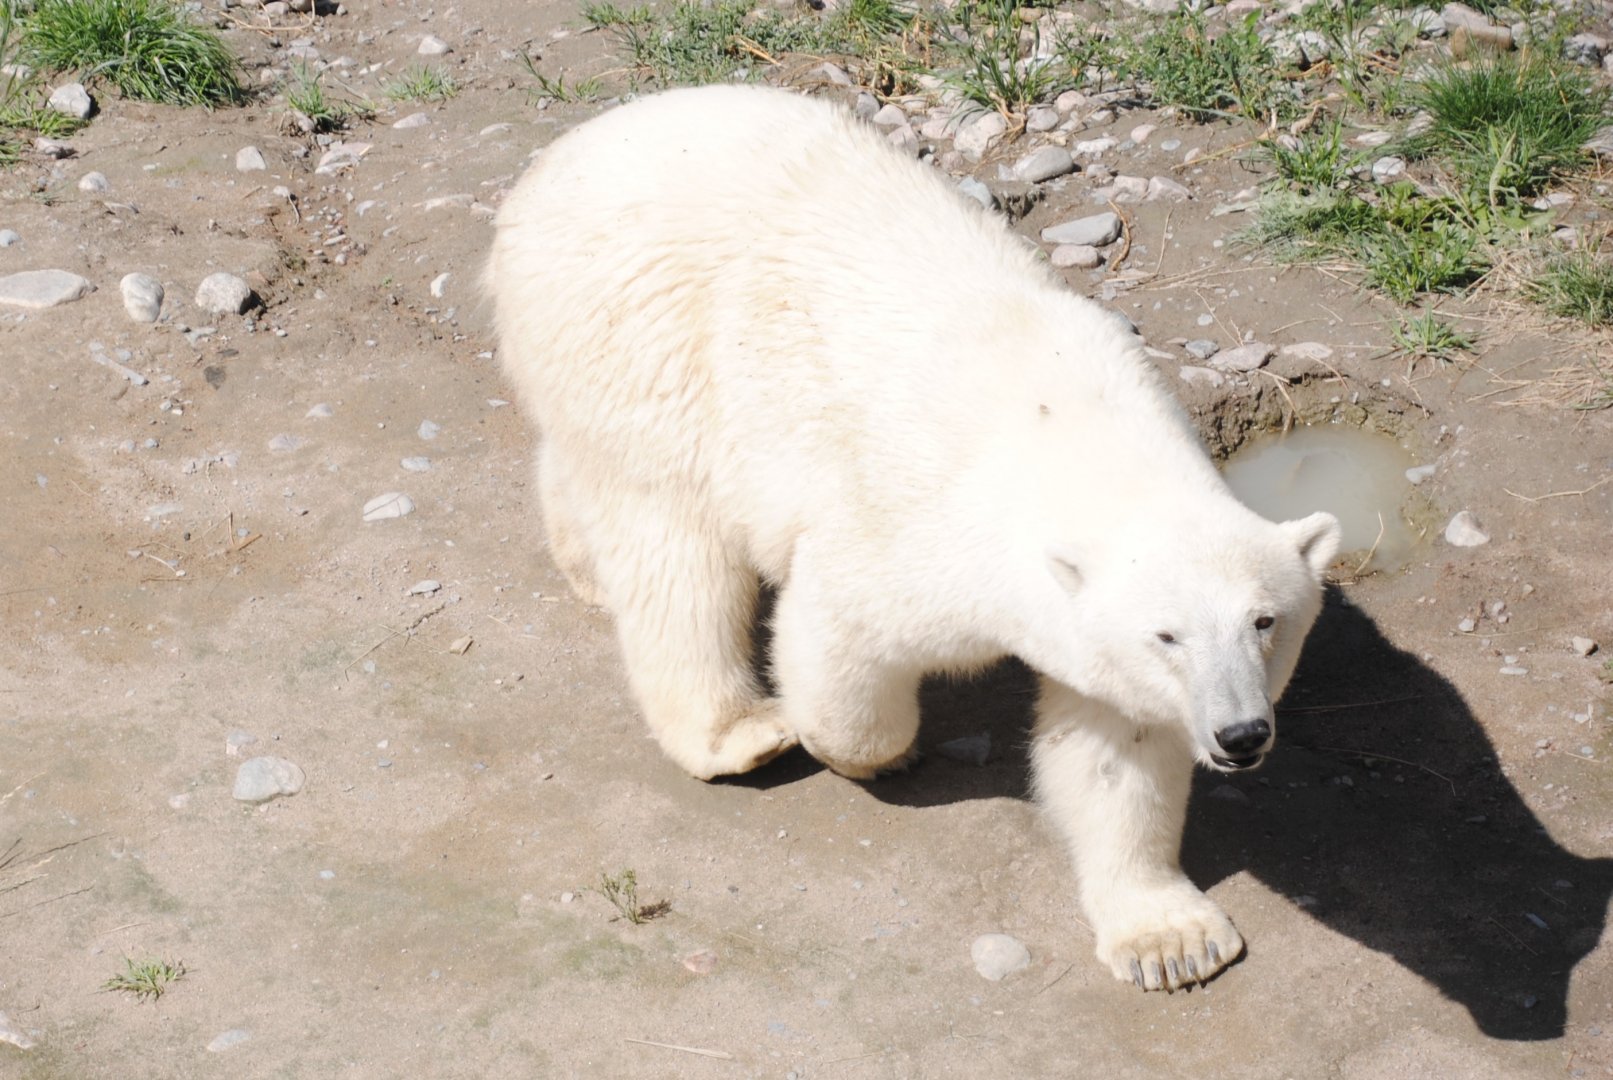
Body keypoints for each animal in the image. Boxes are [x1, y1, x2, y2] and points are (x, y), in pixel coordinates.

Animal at [487, 85, 1341, 993]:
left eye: (1264, 622)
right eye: (1167, 636)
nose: (1241, 737)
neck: (1067, 428)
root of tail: (558, 160)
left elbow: (1114, 752)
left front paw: (1168, 941)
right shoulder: (910, 531)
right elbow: (841, 648)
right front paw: (872, 756)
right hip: (638, 335)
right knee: (673, 547)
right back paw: (737, 733)